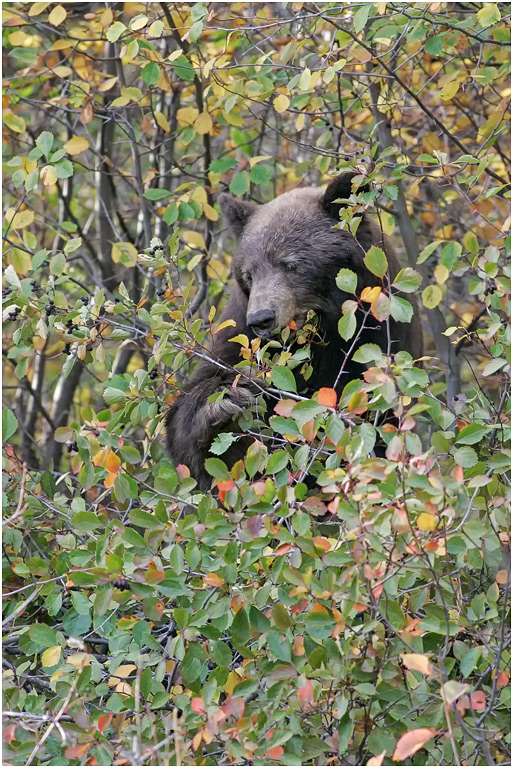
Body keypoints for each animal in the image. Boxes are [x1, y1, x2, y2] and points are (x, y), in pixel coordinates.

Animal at [166, 173, 423, 490]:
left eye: (290, 264)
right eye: (249, 273)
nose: (261, 318)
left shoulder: (379, 342)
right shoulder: (235, 335)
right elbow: (188, 432)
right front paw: (225, 400)